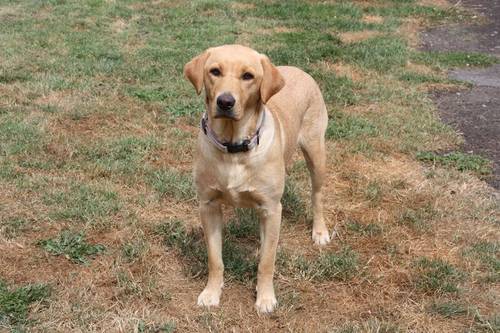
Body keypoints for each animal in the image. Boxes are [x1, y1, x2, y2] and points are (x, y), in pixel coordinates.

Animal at [184, 43, 332, 312]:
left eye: (248, 76)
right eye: (215, 71)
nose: (225, 101)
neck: (233, 146)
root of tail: (298, 69)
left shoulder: (272, 208)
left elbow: (267, 262)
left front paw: (265, 298)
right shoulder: (208, 205)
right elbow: (215, 259)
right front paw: (211, 292)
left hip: (316, 154)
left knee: (317, 196)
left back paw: (319, 231)